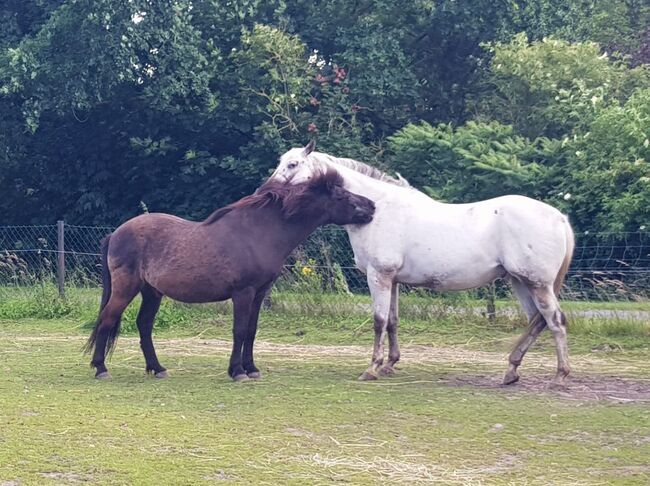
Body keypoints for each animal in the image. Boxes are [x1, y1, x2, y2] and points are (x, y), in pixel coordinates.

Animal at [83, 169, 372, 382]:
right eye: (341, 196)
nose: (371, 206)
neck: (259, 234)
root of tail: (116, 233)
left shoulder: (259, 294)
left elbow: (252, 331)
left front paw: (252, 369)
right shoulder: (243, 293)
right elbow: (239, 330)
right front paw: (237, 371)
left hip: (151, 292)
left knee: (144, 325)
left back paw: (158, 368)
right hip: (126, 289)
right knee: (107, 319)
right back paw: (101, 369)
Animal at [270, 141, 576, 388]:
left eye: (293, 164)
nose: (267, 189)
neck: (378, 210)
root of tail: (559, 217)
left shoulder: (378, 276)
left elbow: (379, 321)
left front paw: (372, 368)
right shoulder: (392, 280)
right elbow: (393, 321)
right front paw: (390, 364)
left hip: (537, 284)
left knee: (555, 322)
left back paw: (560, 376)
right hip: (520, 282)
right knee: (537, 321)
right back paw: (511, 371)